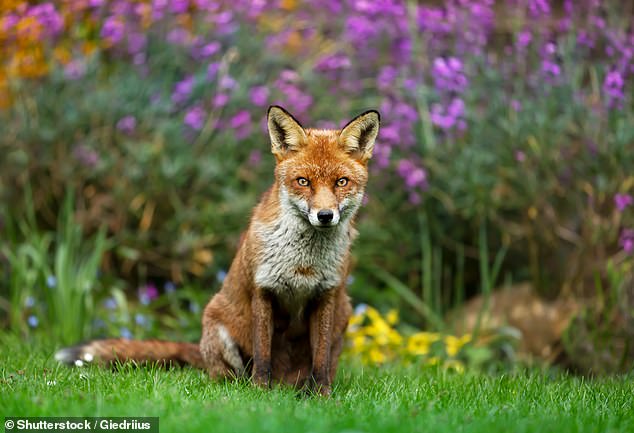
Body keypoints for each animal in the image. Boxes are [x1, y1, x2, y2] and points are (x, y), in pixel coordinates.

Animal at [54, 105, 378, 394]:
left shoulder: (326, 295)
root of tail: (285, 383)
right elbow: (263, 356)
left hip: (343, 316)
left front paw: (322, 397)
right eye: (303, 182)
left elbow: (320, 362)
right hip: (218, 326)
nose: (324, 216)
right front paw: (260, 394)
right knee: (228, 377)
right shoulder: (264, 291)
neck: (303, 263)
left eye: (341, 182)